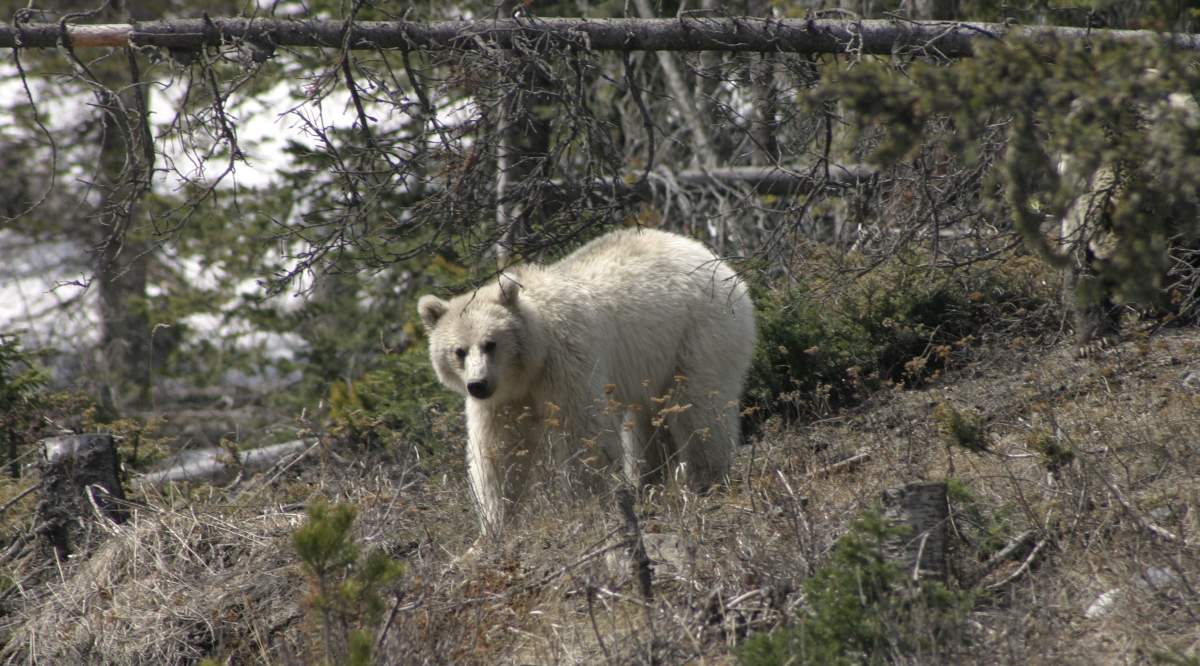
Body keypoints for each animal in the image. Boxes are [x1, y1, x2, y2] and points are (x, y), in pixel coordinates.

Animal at [418, 227, 756, 534]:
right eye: (458, 351)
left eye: (490, 343)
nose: (478, 385)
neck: (531, 363)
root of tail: (717, 261)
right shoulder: (505, 399)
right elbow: (499, 451)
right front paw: (492, 530)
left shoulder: (567, 362)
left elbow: (582, 432)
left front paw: (584, 507)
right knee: (647, 426)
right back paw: (647, 484)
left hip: (699, 334)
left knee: (697, 410)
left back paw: (705, 482)